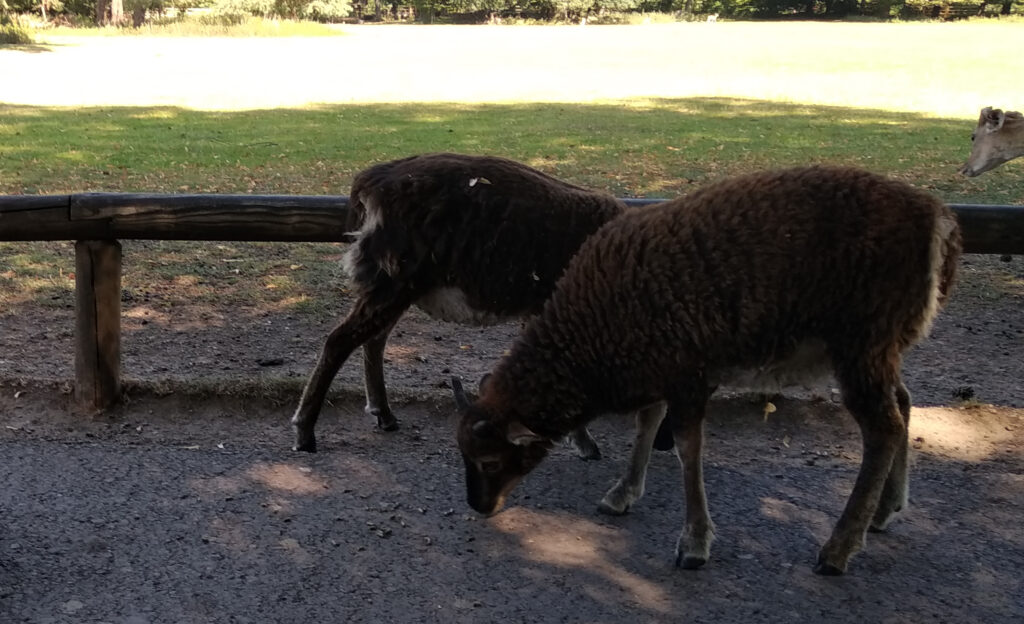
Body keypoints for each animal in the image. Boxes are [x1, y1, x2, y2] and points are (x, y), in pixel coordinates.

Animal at [456, 163, 958, 573]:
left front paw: (694, 543)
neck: (594, 332)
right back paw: (885, 512)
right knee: (903, 405)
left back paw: (839, 548)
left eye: (491, 459)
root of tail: (937, 218)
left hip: (860, 344)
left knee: (882, 429)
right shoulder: (661, 369)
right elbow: (647, 424)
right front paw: (622, 494)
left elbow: (686, 447)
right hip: (883, 348)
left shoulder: (690, 374)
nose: (479, 507)